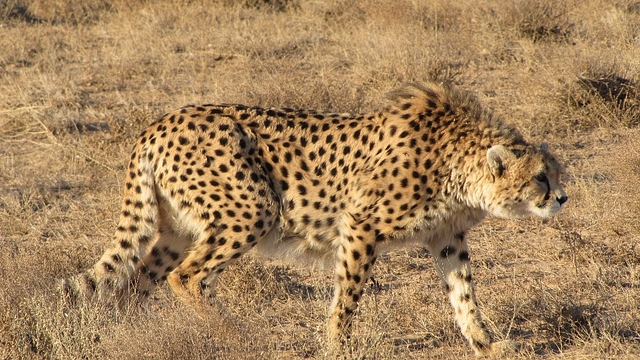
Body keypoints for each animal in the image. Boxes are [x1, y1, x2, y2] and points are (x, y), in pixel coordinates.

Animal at [60, 83, 568, 356]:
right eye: (541, 177)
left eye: (558, 173)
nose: (562, 198)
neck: (459, 165)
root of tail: (160, 122)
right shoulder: (360, 224)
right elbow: (348, 296)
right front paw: (339, 346)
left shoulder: (446, 238)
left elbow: (464, 297)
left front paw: (485, 344)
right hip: (253, 209)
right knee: (186, 277)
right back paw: (241, 337)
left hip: (177, 229)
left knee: (136, 281)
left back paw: (134, 336)